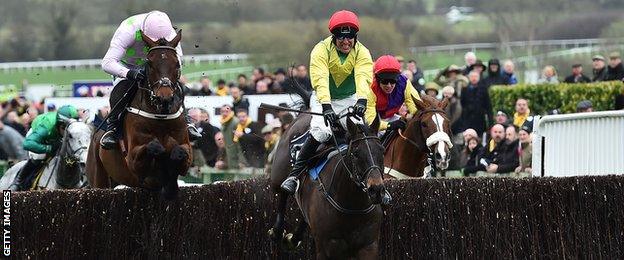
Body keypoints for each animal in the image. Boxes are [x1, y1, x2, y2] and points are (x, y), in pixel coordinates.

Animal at [268, 114, 386, 260]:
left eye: (382, 150)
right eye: (356, 153)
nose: (376, 190)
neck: (353, 206)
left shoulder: (369, 246)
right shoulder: (326, 247)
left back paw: (294, 239)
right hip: (278, 175)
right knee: (282, 191)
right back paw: (277, 231)